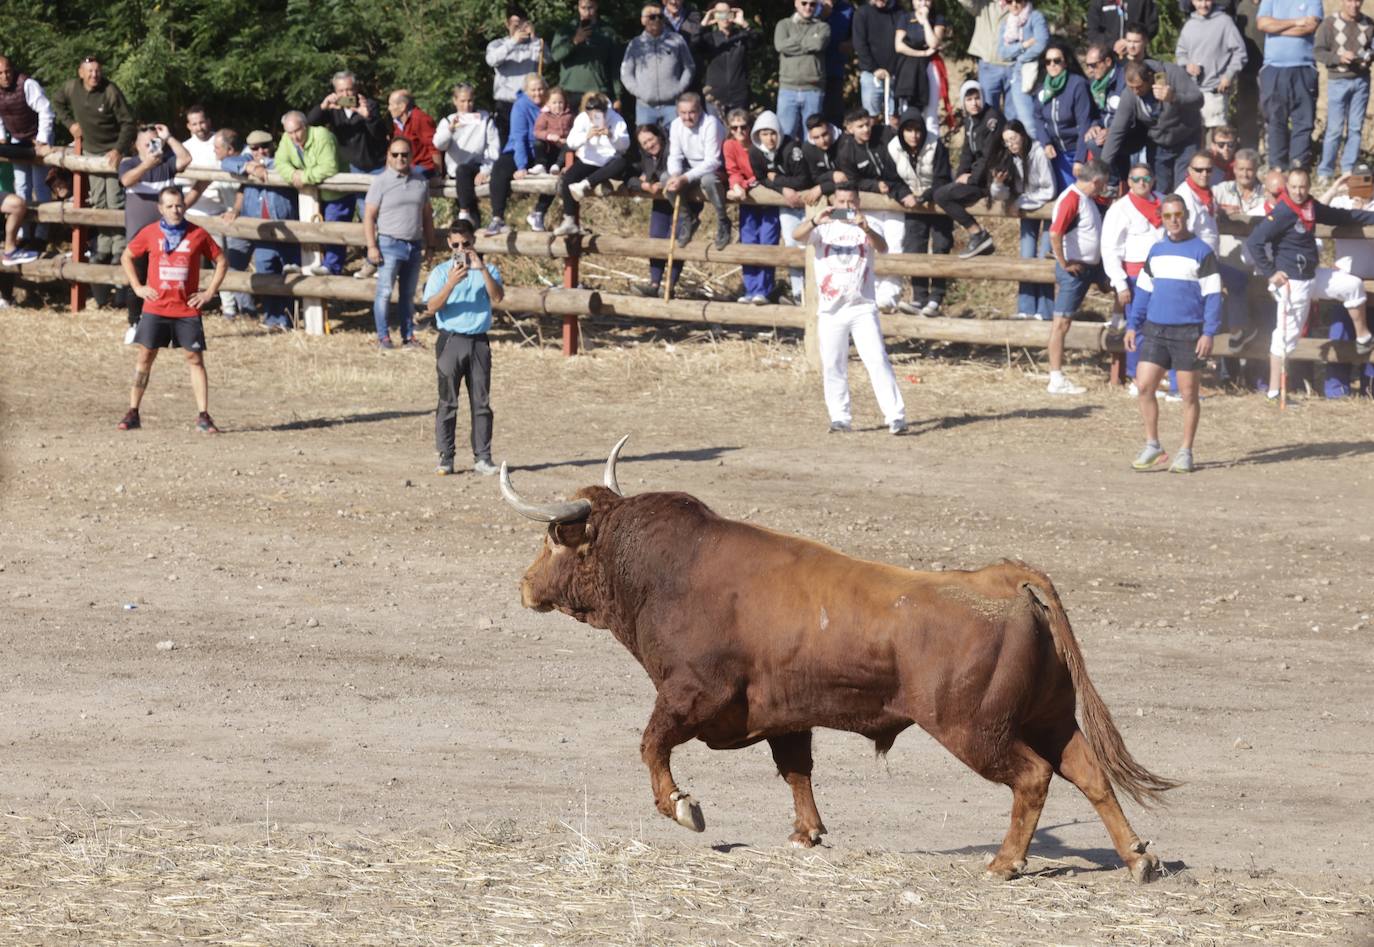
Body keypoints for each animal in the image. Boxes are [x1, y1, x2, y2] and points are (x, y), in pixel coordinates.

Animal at [500, 437, 1176, 879]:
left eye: (551, 539)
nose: (526, 585)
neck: (664, 571)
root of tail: (1004, 579)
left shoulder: (690, 695)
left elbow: (651, 746)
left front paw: (684, 809)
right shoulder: (784, 714)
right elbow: (796, 769)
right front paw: (806, 834)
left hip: (975, 729)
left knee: (1034, 777)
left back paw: (1004, 864)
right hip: (1049, 716)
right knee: (1089, 771)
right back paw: (1138, 858)